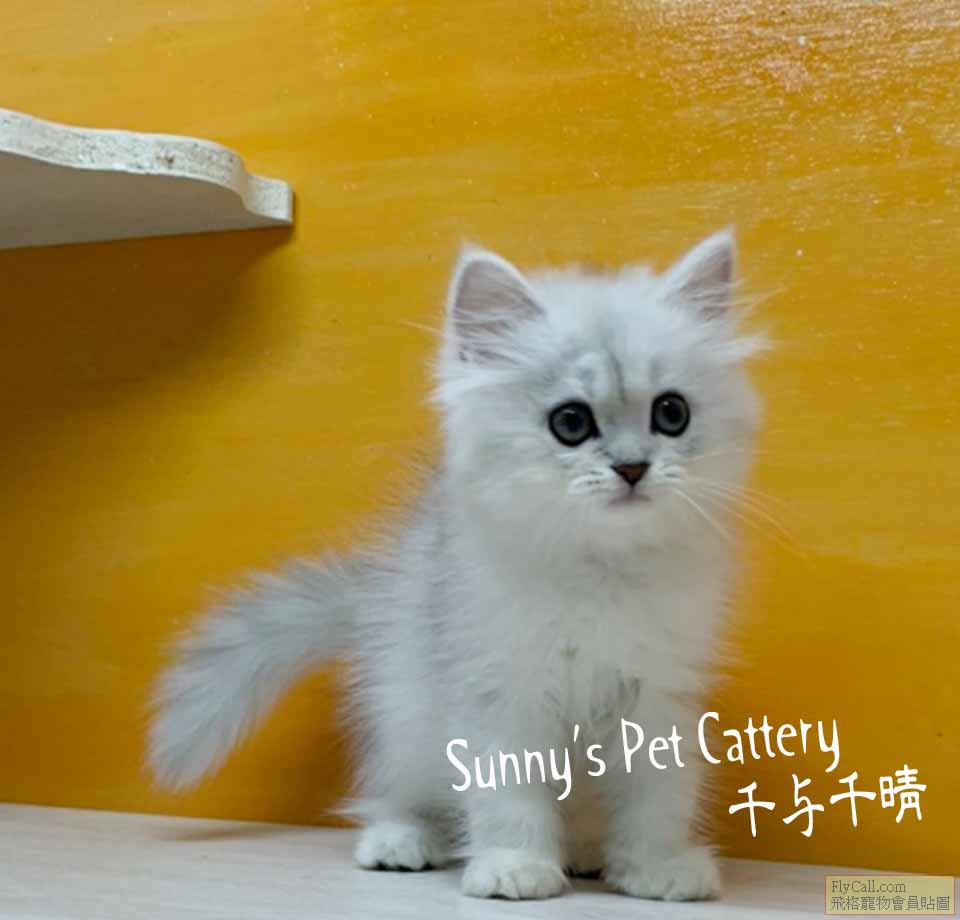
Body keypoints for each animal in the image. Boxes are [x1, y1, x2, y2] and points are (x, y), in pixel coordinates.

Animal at [149, 229, 765, 901]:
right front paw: (514, 866)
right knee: (391, 793)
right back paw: (401, 841)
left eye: (671, 414)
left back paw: (581, 851)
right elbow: (508, 793)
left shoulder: (660, 696)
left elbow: (659, 796)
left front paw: (656, 868)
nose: (632, 467)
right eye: (571, 422)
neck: (599, 569)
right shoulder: (500, 688)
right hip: (402, 714)